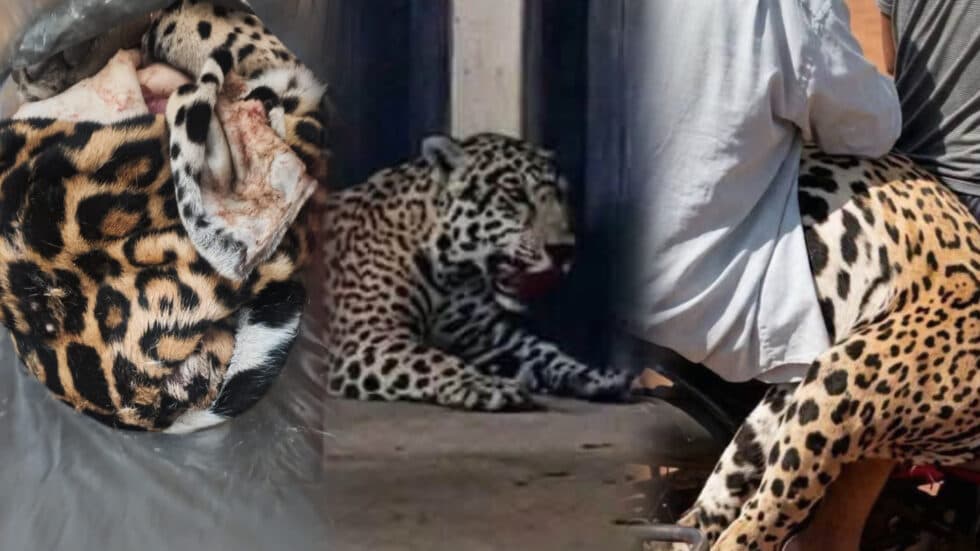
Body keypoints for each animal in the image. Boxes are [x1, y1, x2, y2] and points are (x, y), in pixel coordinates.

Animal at [317, 133, 635, 411]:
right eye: (517, 196)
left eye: (562, 197)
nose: (565, 250)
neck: (453, 274)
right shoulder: (366, 335)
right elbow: (430, 358)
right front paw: (487, 386)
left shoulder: (488, 336)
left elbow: (547, 351)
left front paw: (596, 375)